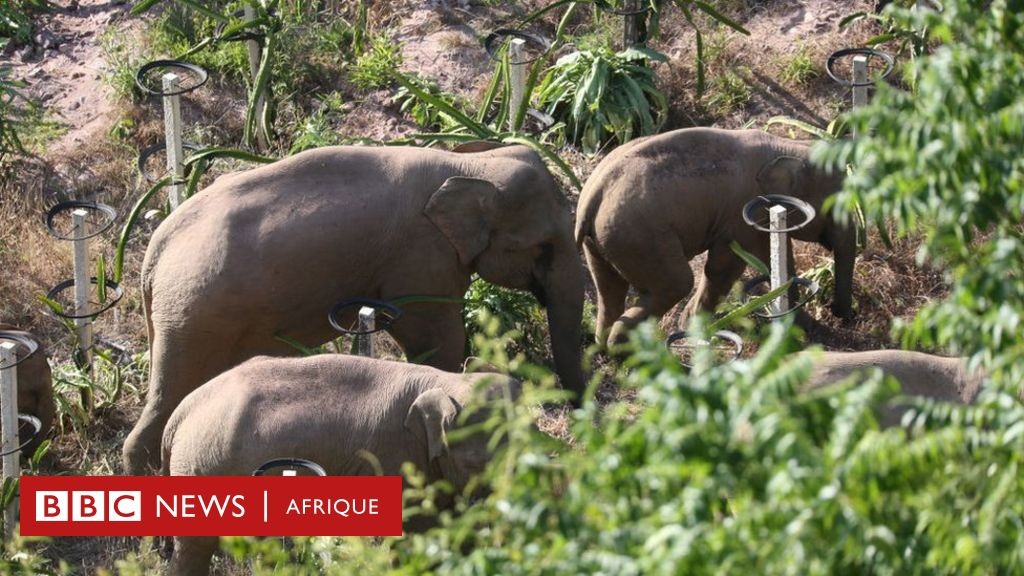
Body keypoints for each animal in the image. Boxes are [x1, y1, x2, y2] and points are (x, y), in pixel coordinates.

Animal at [121, 142, 585, 471]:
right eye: (543, 248)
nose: (579, 418)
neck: (468, 165)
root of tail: (155, 249)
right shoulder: (422, 258)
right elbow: (439, 338)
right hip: (194, 314)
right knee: (170, 392)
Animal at [163, 352, 524, 569]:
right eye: (479, 464)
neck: (443, 379)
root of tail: (180, 413)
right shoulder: (394, 457)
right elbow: (417, 532)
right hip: (202, 468)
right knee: (195, 548)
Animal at [577, 126, 856, 344]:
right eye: (834, 205)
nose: (842, 315)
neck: (785, 145)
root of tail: (594, 193)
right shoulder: (741, 214)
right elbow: (725, 267)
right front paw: (692, 328)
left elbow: (776, 256)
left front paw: (801, 327)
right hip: (639, 237)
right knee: (677, 283)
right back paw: (627, 353)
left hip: (603, 241)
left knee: (609, 287)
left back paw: (605, 346)